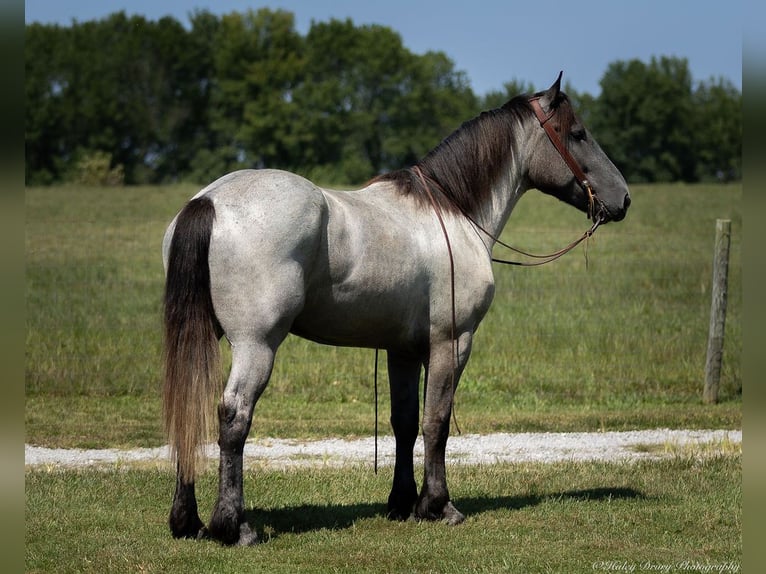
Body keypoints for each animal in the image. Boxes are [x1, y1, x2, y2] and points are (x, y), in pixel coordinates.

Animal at [160, 72, 632, 544]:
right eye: (578, 133)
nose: (624, 198)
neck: (454, 212)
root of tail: (208, 202)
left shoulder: (401, 350)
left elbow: (404, 422)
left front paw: (402, 502)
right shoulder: (451, 343)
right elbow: (436, 421)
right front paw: (438, 505)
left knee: (190, 409)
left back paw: (188, 521)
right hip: (256, 345)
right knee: (233, 416)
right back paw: (232, 526)